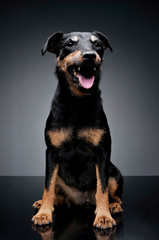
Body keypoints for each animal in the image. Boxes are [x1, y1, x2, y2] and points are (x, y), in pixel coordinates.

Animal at [31, 31, 123, 230]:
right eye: (69, 44)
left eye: (97, 44)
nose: (90, 55)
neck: (77, 102)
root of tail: (83, 200)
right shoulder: (52, 152)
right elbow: (48, 186)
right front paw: (43, 213)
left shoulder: (103, 152)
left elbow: (102, 188)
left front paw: (104, 216)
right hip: (59, 173)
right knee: (56, 192)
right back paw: (45, 203)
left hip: (115, 173)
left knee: (114, 194)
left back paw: (114, 206)